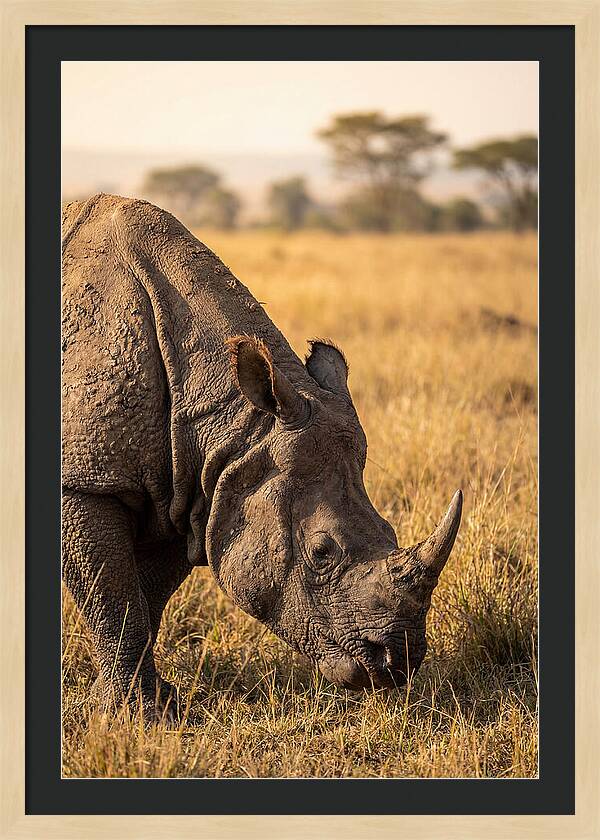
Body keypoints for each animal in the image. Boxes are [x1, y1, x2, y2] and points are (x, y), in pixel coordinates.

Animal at [62, 193, 462, 717]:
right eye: (322, 553)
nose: (397, 664)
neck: (235, 426)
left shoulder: (189, 487)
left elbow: (144, 599)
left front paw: (151, 705)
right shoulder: (88, 480)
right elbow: (116, 602)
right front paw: (136, 716)